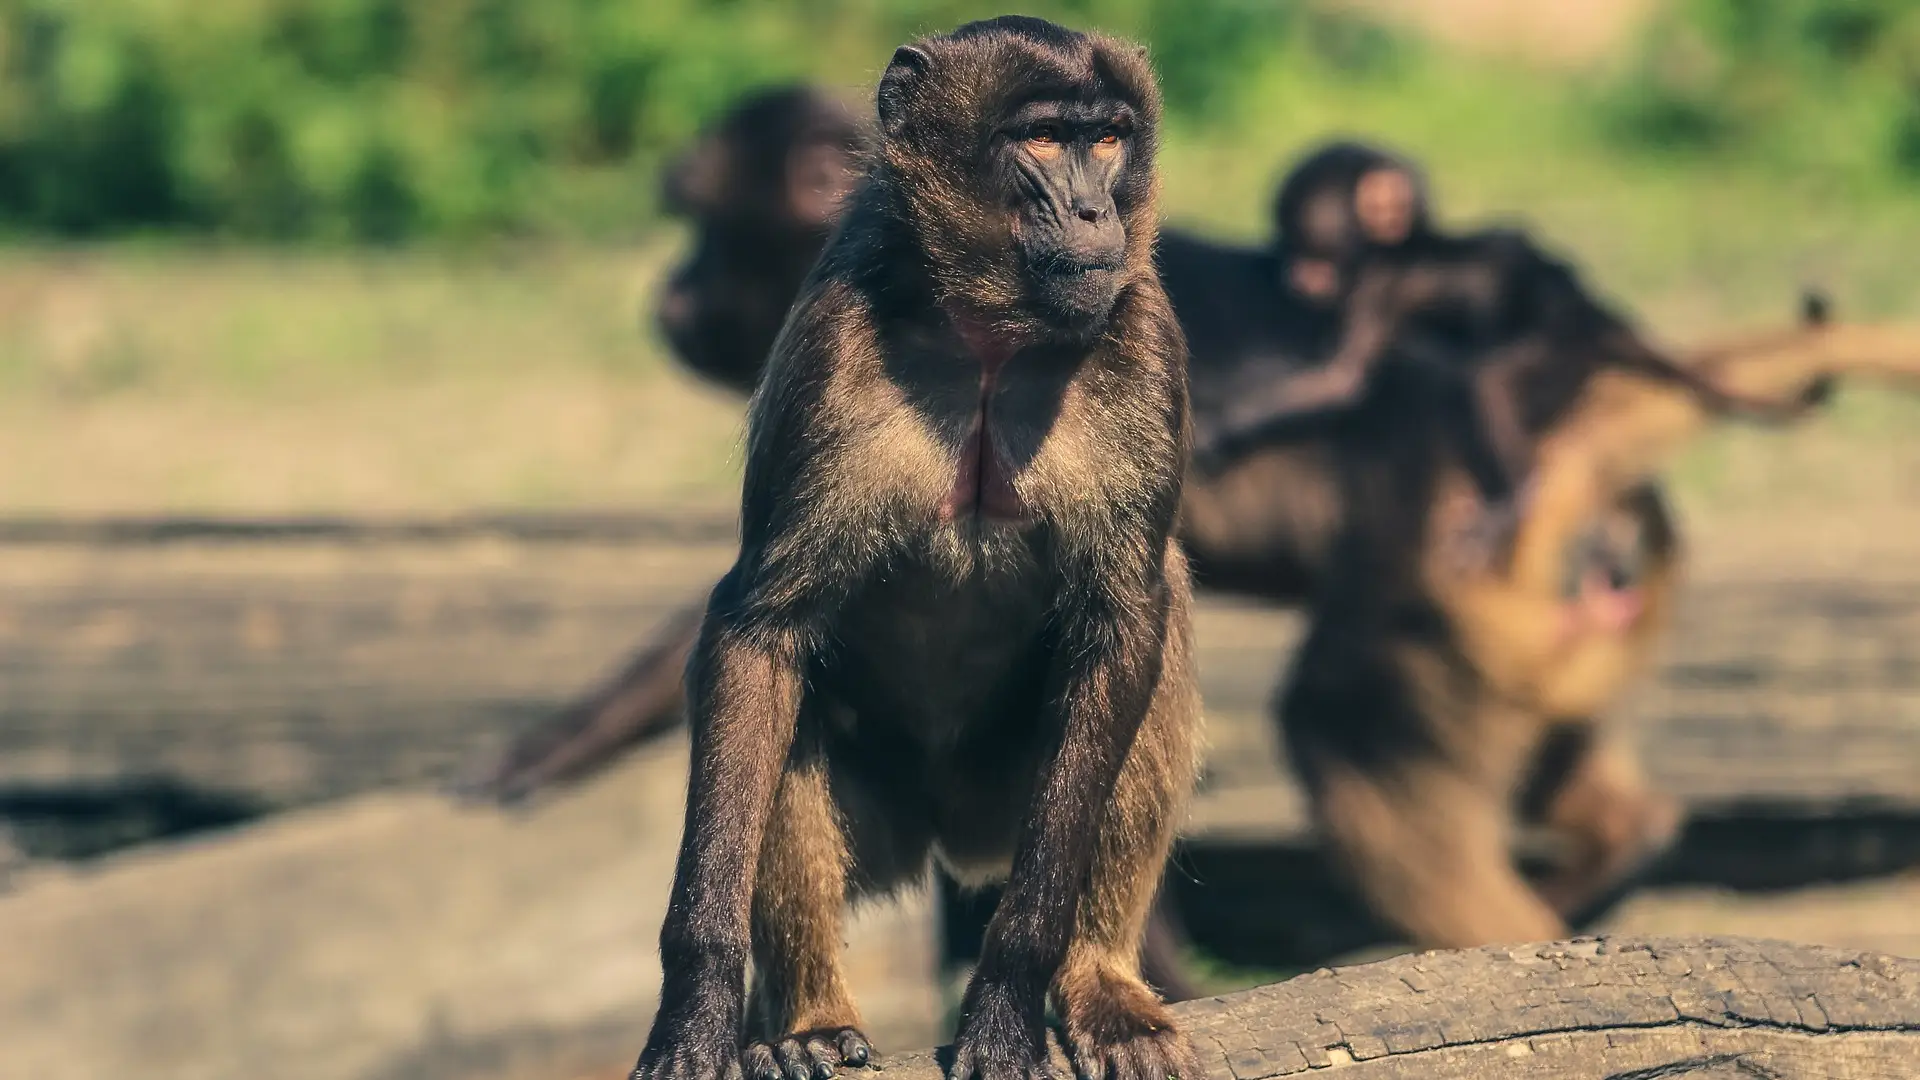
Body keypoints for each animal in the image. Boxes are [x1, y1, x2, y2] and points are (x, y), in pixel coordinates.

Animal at [631, 20, 1202, 1080]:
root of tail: (946, 837)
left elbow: (1124, 618)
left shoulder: (1144, 336)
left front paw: (1010, 998)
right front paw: (695, 1011)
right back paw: (811, 1018)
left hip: (1002, 804)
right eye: (1045, 138)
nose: (1097, 210)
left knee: (1161, 622)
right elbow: (758, 632)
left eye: (1108, 138)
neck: (987, 341)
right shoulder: (831, 346)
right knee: (786, 700)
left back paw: (1100, 981)